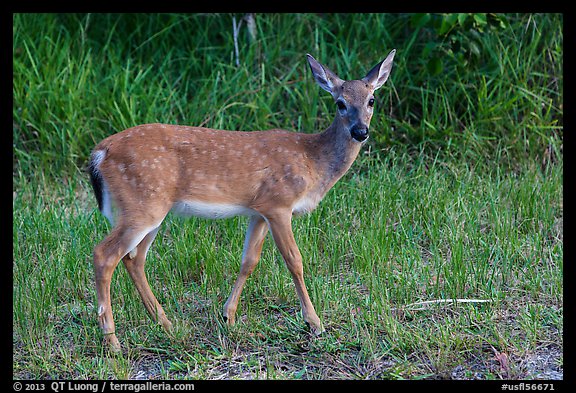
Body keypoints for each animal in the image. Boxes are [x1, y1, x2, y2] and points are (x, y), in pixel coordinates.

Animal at [89, 49, 396, 350]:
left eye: (371, 100)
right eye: (340, 103)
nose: (360, 131)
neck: (313, 160)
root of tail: (100, 152)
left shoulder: (258, 211)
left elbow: (249, 260)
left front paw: (229, 316)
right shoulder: (279, 204)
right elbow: (294, 260)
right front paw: (314, 323)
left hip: (151, 210)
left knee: (134, 258)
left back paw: (166, 324)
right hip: (142, 204)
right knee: (104, 254)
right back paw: (113, 340)